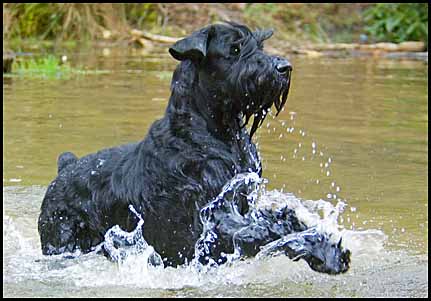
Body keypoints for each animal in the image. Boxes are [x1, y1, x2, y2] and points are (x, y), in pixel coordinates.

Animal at [38, 22, 352, 274]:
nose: (284, 67)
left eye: (260, 45)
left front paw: (328, 250)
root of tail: (66, 166)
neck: (218, 132)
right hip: (60, 238)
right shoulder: (207, 224)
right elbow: (260, 231)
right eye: (235, 49)